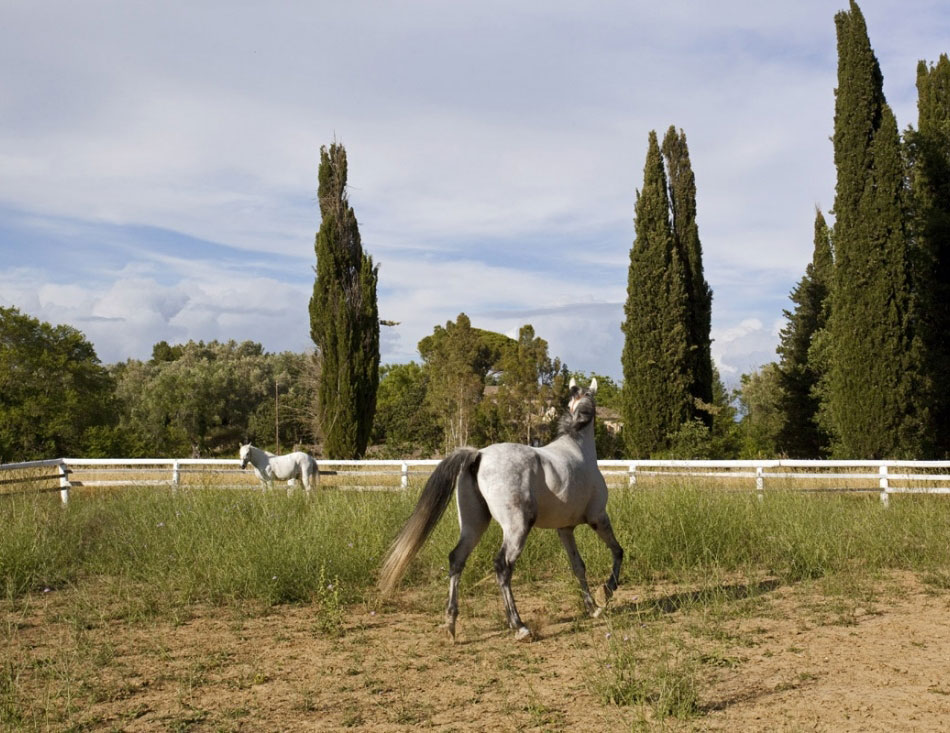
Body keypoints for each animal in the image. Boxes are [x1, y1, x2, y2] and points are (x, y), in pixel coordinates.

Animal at [380, 378, 624, 640]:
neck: (578, 448)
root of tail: (479, 455)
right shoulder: (598, 518)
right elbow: (617, 552)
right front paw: (606, 592)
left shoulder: (565, 529)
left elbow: (578, 566)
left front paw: (592, 607)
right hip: (517, 528)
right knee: (502, 566)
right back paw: (519, 625)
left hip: (474, 525)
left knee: (456, 559)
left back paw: (451, 624)